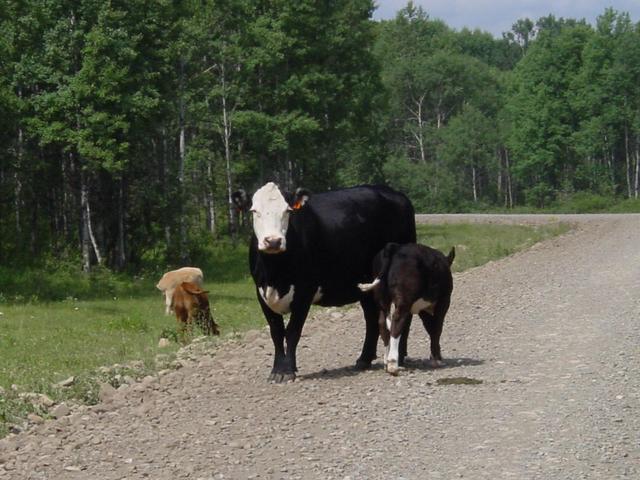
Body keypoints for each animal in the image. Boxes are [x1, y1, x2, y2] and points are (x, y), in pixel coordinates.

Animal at [232, 183, 418, 382]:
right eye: (254, 210)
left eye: (288, 211)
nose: (273, 241)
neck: (275, 275)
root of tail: (394, 193)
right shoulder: (261, 293)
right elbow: (276, 332)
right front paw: (278, 370)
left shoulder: (305, 292)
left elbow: (292, 332)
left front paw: (287, 370)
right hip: (366, 285)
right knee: (371, 318)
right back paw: (364, 359)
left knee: (403, 314)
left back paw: (398, 357)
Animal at [360, 244, 456, 376]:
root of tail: (394, 247)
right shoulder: (444, 300)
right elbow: (437, 328)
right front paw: (436, 359)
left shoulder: (422, 308)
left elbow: (430, 327)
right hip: (404, 300)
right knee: (397, 323)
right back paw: (393, 364)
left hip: (381, 298)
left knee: (382, 324)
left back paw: (386, 362)